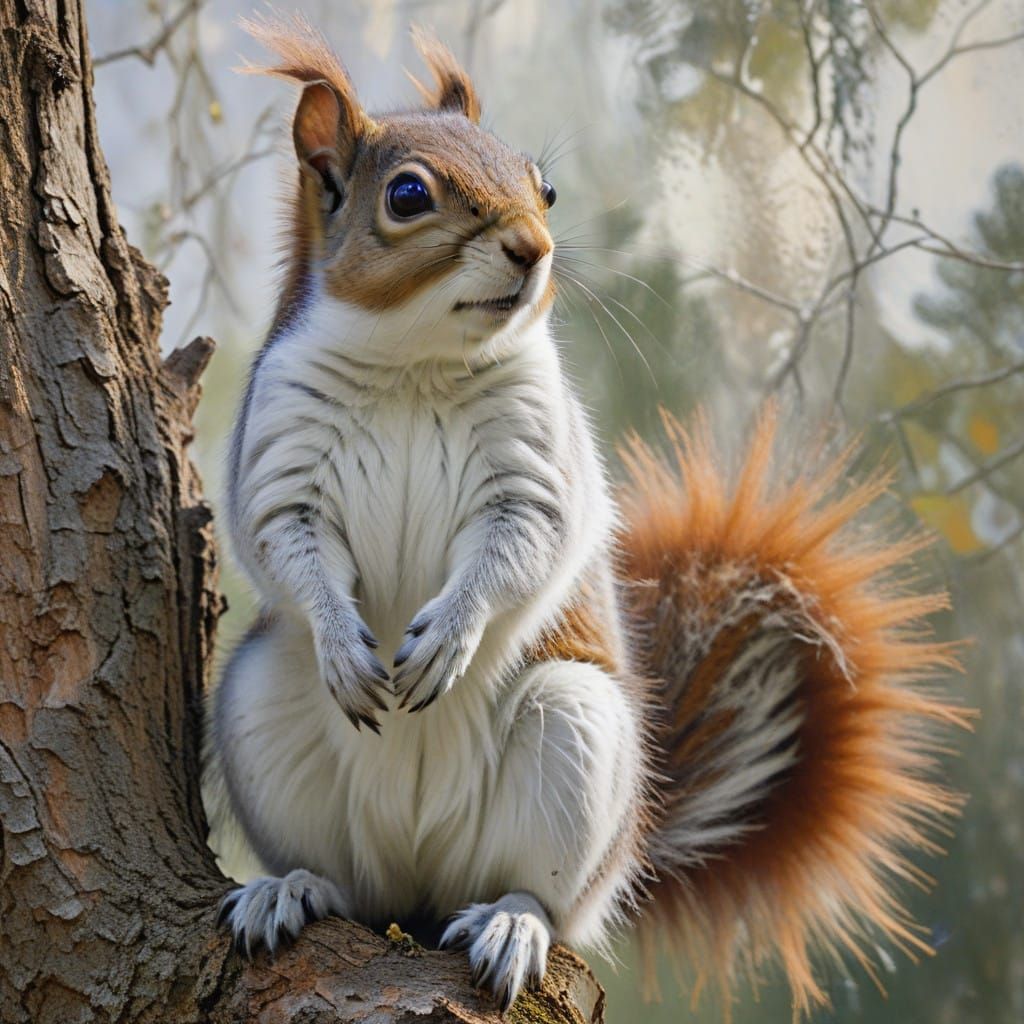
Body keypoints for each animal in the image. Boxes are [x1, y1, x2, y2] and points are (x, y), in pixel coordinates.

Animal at [205, 13, 969, 1015]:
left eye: (546, 185)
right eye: (407, 195)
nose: (535, 249)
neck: (416, 363)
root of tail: (420, 873)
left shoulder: (535, 464)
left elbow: (523, 542)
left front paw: (450, 634)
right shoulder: (280, 448)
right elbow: (284, 542)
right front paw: (342, 639)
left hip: (573, 736)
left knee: (543, 897)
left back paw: (511, 922)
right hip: (265, 710)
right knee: (351, 885)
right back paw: (292, 886)